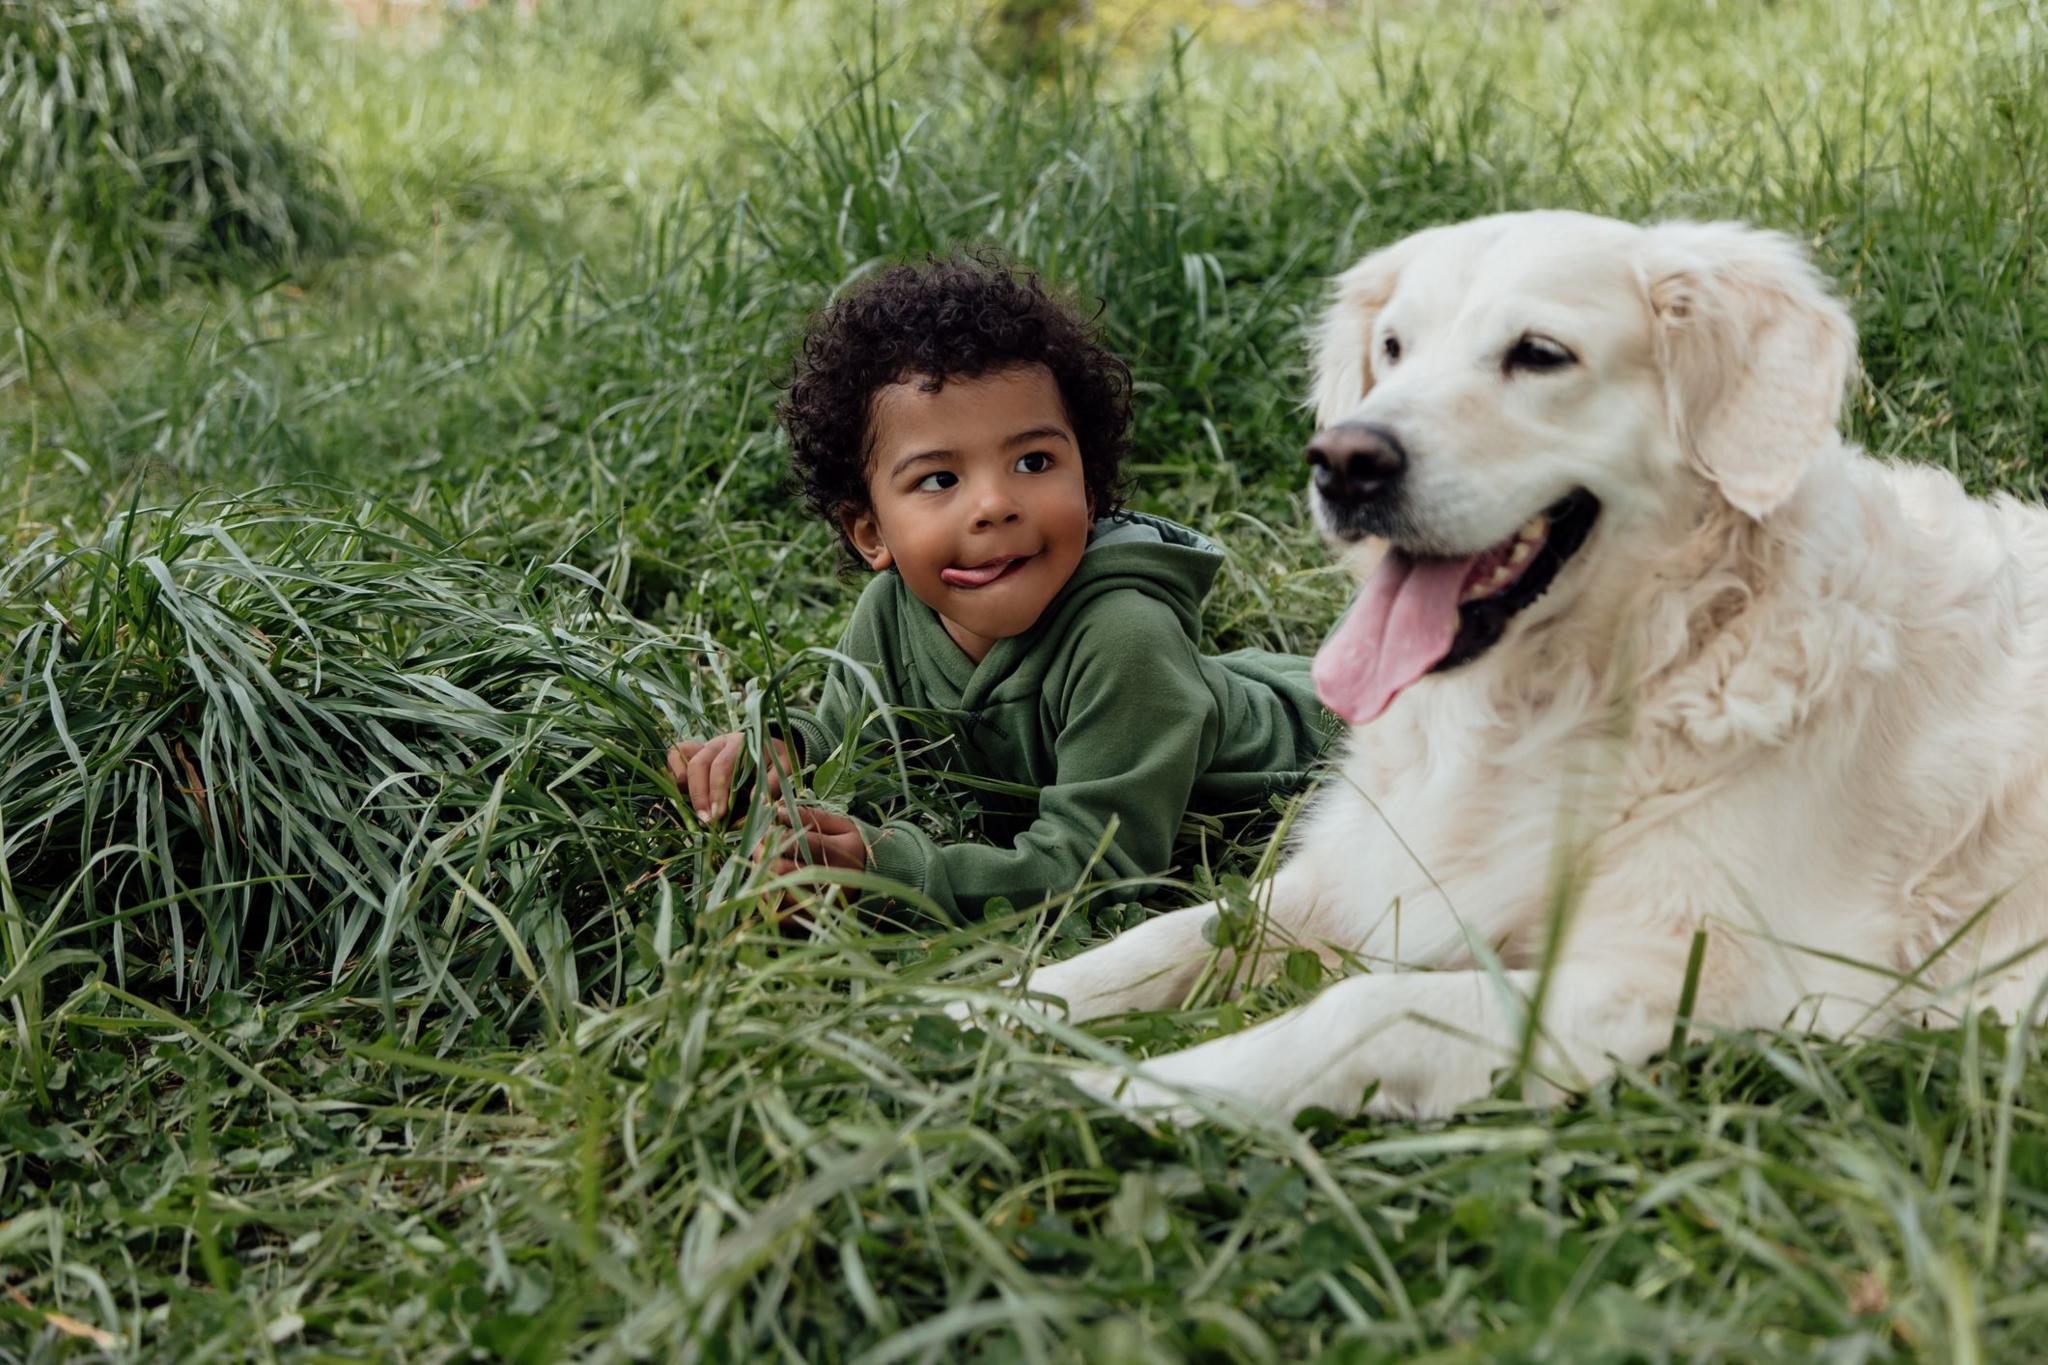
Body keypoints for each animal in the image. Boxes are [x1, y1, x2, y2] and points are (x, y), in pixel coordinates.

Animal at [999, 210, 2048, 1121]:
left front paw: (1112, 1087)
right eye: (1393, 347)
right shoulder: (1361, 872)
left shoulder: (1696, 979)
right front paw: (982, 1018)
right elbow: (1159, 937)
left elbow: (1363, 1008)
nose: (1343, 460)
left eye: (1539, 354)